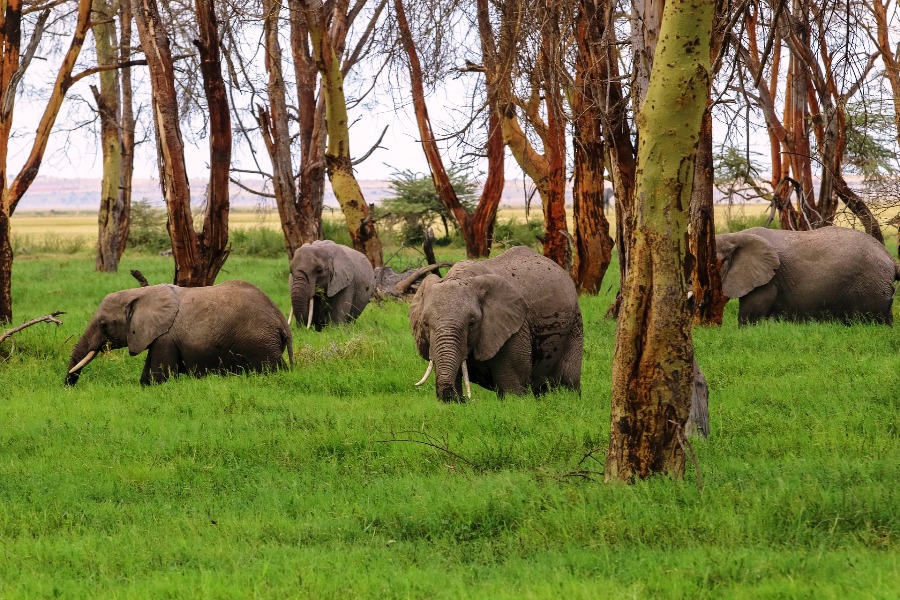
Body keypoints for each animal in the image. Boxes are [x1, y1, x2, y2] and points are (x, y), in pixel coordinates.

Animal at [67, 280, 292, 386]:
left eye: (103, 325)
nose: (68, 387)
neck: (141, 293)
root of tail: (282, 323)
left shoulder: (165, 338)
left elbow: (161, 377)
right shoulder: (157, 336)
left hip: (260, 342)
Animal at [408, 246, 584, 400]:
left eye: (472, 323)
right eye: (425, 324)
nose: (464, 399)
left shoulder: (516, 327)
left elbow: (513, 386)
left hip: (575, 323)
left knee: (568, 380)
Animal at [712, 225, 896, 326]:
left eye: (715, 265)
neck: (735, 235)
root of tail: (891, 259)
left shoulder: (768, 281)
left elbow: (749, 317)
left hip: (870, 286)